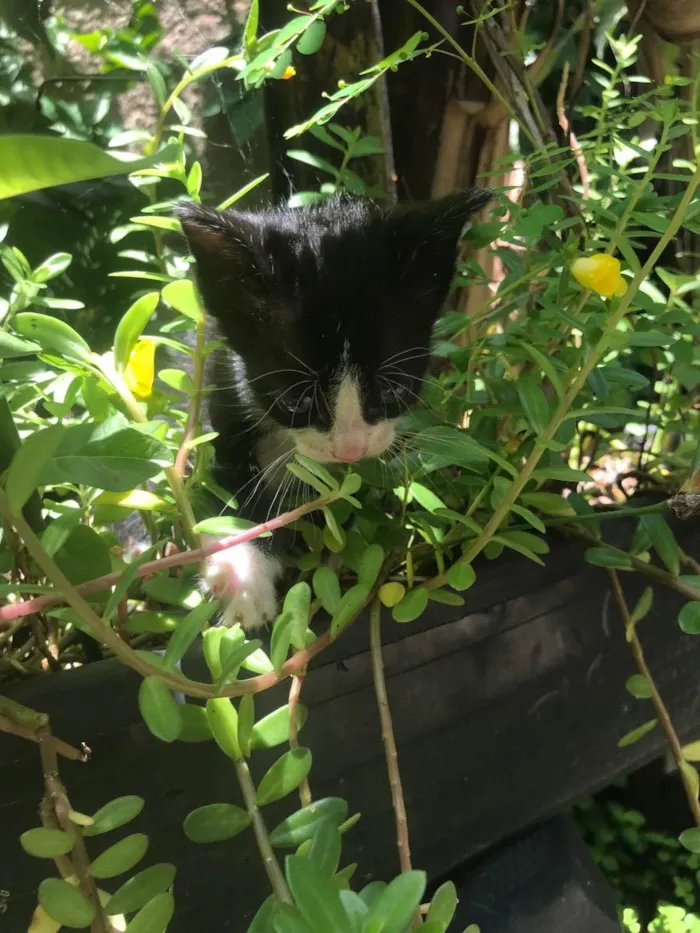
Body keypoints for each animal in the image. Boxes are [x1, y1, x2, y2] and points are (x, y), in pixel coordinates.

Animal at [176, 187, 492, 628]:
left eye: (393, 390)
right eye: (296, 400)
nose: (350, 449)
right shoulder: (221, 387)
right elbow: (234, 479)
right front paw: (246, 580)